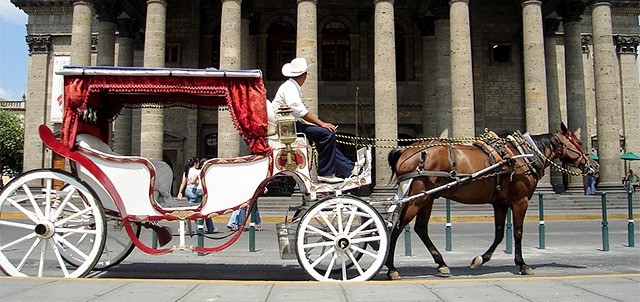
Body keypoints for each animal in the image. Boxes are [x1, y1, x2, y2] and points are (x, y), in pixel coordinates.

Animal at [384, 124, 600, 280]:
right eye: (579, 142)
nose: (594, 166)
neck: (523, 154)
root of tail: (405, 151)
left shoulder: (500, 203)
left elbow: (499, 233)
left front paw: (480, 259)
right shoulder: (520, 200)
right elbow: (518, 232)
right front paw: (523, 264)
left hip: (427, 197)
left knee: (420, 228)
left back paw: (442, 264)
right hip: (418, 197)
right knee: (396, 228)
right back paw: (391, 268)